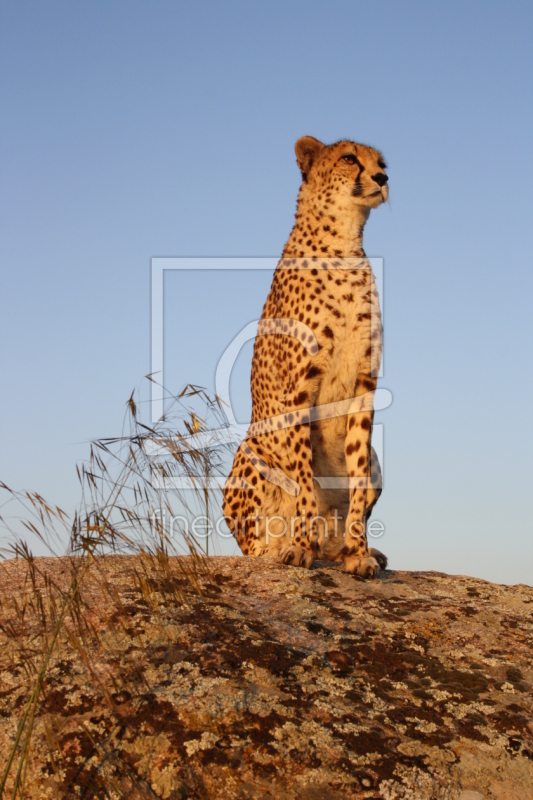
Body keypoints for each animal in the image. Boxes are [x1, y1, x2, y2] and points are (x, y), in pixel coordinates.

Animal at [222, 136, 388, 576]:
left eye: (382, 163)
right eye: (349, 159)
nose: (383, 178)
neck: (345, 246)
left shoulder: (364, 384)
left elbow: (357, 478)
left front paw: (359, 552)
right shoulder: (299, 386)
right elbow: (304, 476)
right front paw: (299, 547)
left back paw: (348, 549)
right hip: (250, 451)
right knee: (251, 543)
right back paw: (277, 548)